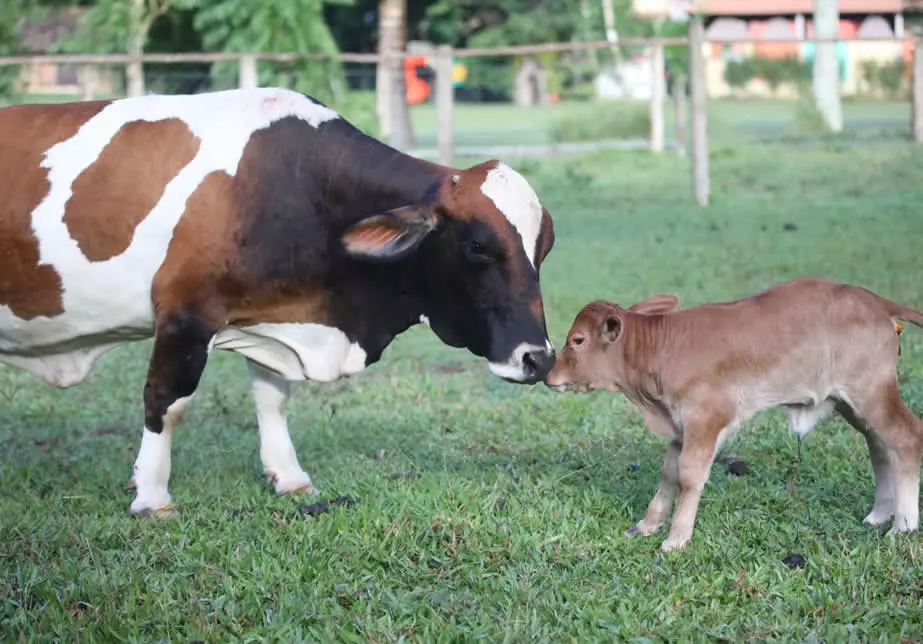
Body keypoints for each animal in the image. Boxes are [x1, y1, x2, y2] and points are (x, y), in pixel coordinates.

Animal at [0, 87, 556, 520]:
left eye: (544, 247)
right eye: (477, 246)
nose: (539, 358)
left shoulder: (273, 315)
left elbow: (272, 397)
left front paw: (288, 476)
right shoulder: (183, 316)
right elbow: (166, 401)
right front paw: (152, 496)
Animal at [544, 278, 920, 552]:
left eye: (577, 340)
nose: (549, 375)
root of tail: (877, 302)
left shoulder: (706, 420)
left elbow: (689, 477)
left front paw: (676, 538)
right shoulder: (679, 427)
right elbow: (668, 473)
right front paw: (648, 525)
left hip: (872, 392)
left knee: (906, 437)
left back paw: (902, 526)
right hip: (853, 402)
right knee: (879, 445)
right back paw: (879, 514)